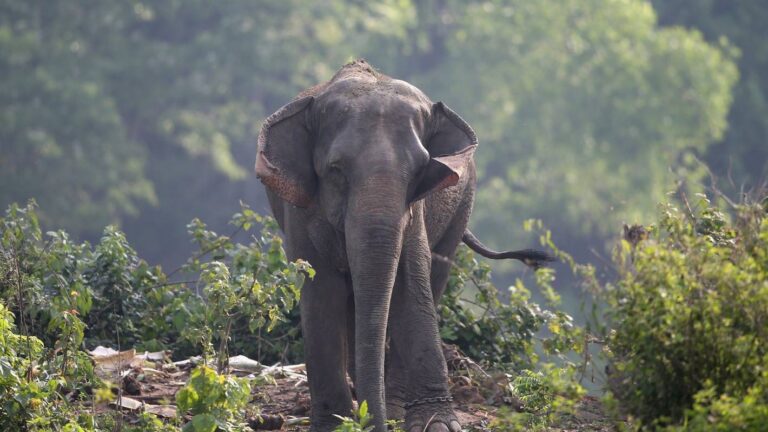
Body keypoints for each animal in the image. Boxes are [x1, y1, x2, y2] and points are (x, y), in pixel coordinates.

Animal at [255, 59, 552, 432]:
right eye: (336, 169)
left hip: (463, 204)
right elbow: (320, 289)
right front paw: (335, 425)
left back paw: (394, 409)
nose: (373, 423)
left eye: (420, 171)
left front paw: (438, 426)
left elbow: (411, 285)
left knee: (433, 277)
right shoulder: (301, 207)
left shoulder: (416, 212)